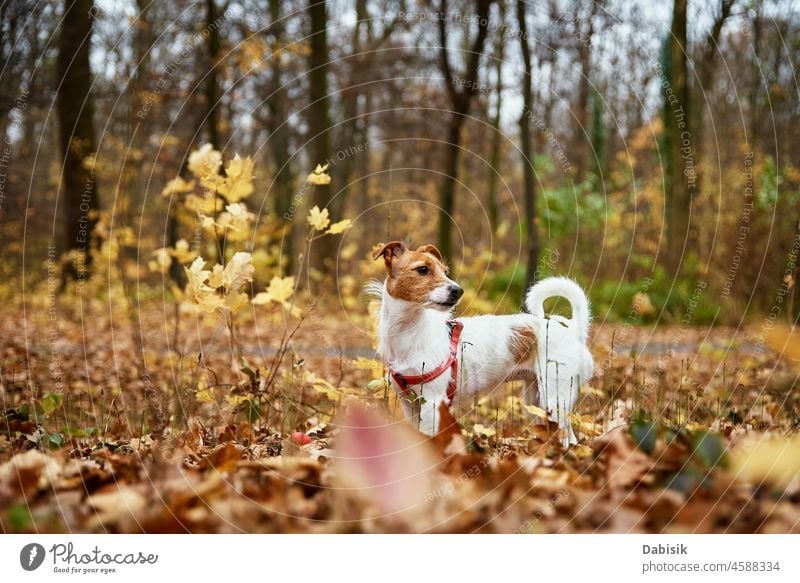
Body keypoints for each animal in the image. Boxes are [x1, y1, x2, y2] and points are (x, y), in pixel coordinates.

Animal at [370, 242, 592, 448]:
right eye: (423, 269)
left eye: (445, 271)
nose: (458, 290)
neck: (409, 331)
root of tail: (573, 329)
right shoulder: (410, 404)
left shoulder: (432, 403)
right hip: (536, 399)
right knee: (570, 437)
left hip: (554, 397)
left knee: (564, 436)